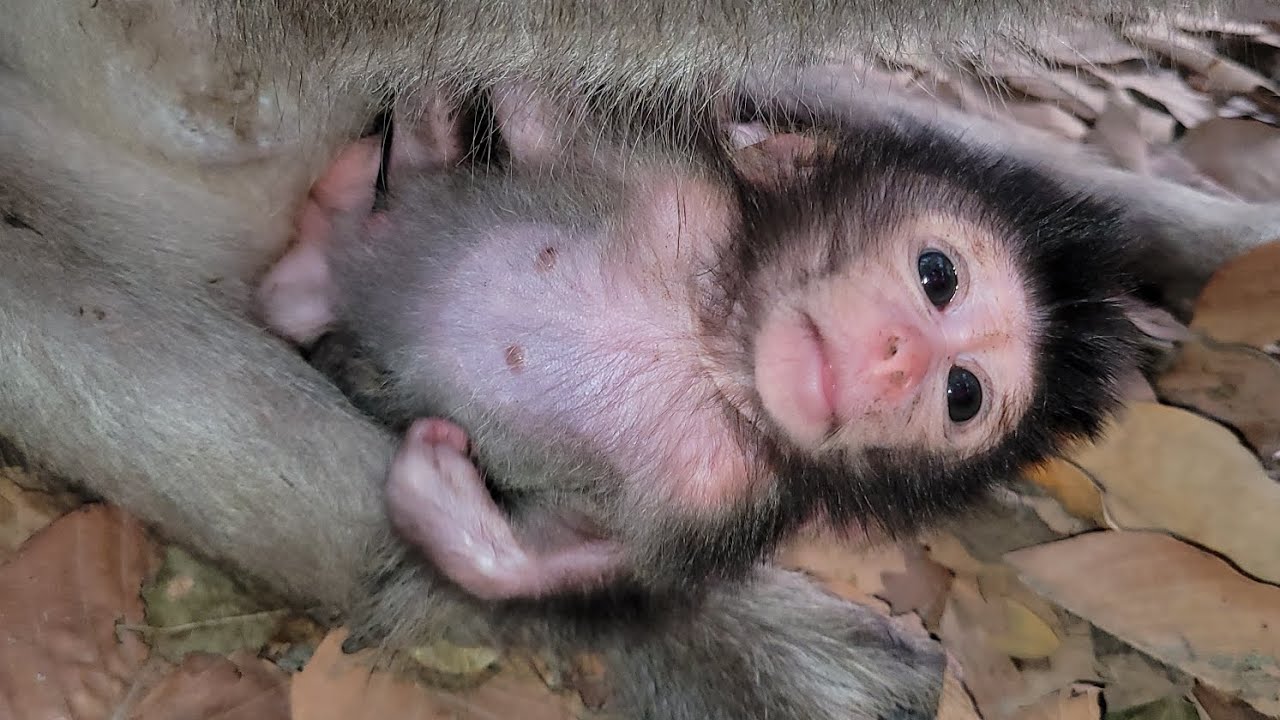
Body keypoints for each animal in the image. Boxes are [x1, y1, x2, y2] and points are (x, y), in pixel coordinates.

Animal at [258, 84, 1149, 604]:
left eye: (962, 395)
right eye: (937, 275)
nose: (897, 359)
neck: (706, 350)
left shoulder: (722, 501)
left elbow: (564, 561)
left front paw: (434, 482)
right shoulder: (677, 186)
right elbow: (538, 118)